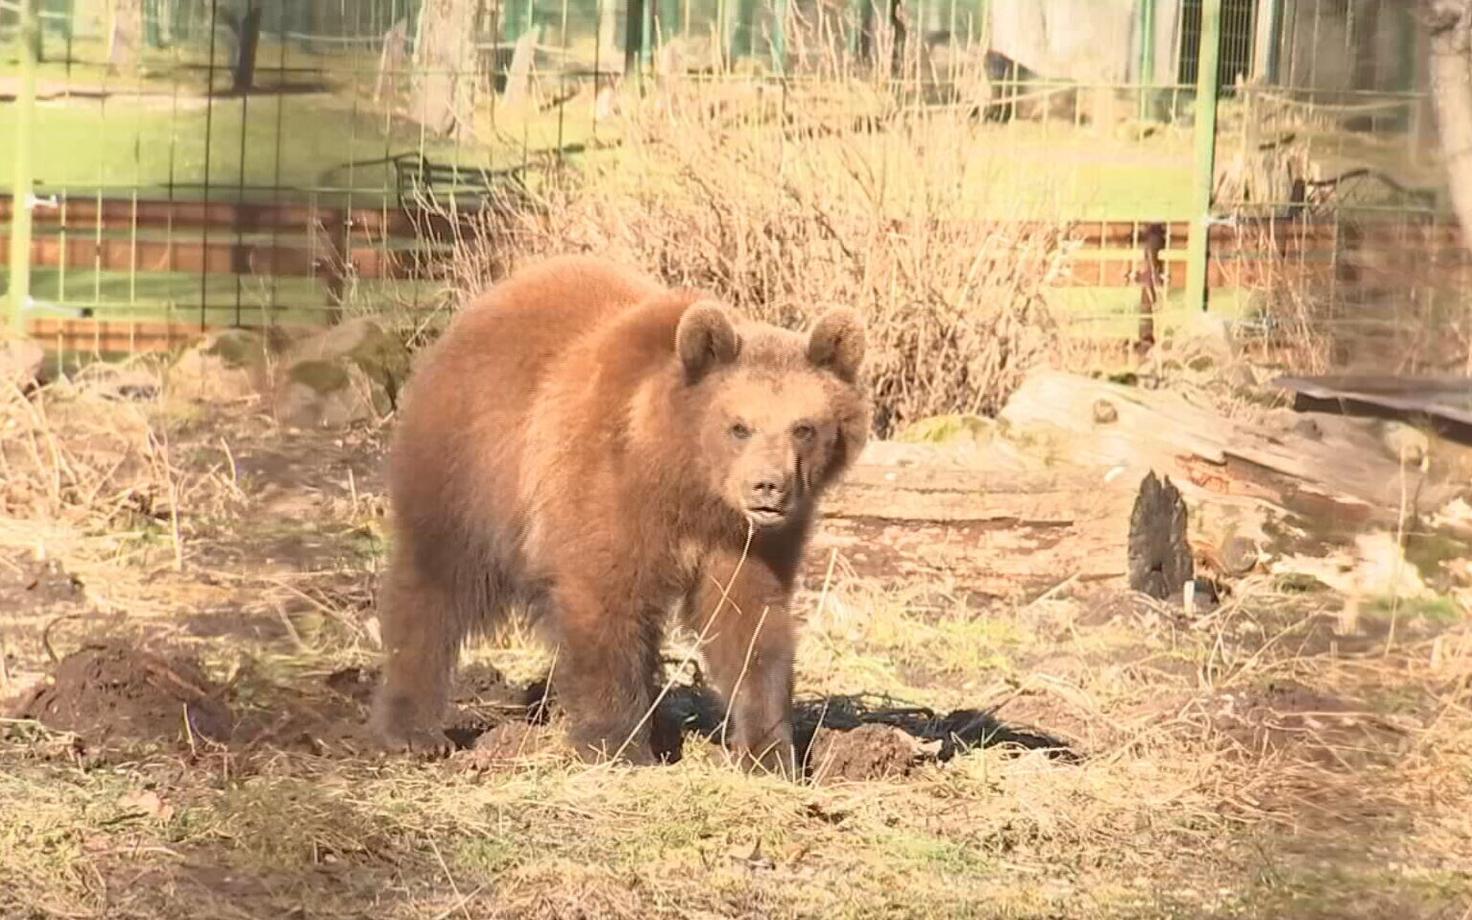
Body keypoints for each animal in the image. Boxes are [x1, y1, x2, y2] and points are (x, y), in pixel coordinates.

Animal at [370, 254, 870, 774]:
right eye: (738, 426)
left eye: (804, 428)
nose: (768, 486)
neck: (685, 483)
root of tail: (482, 306)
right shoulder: (609, 495)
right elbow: (606, 603)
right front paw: (617, 745)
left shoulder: (749, 541)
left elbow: (749, 622)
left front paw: (770, 751)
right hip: (471, 465)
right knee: (436, 583)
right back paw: (413, 731)